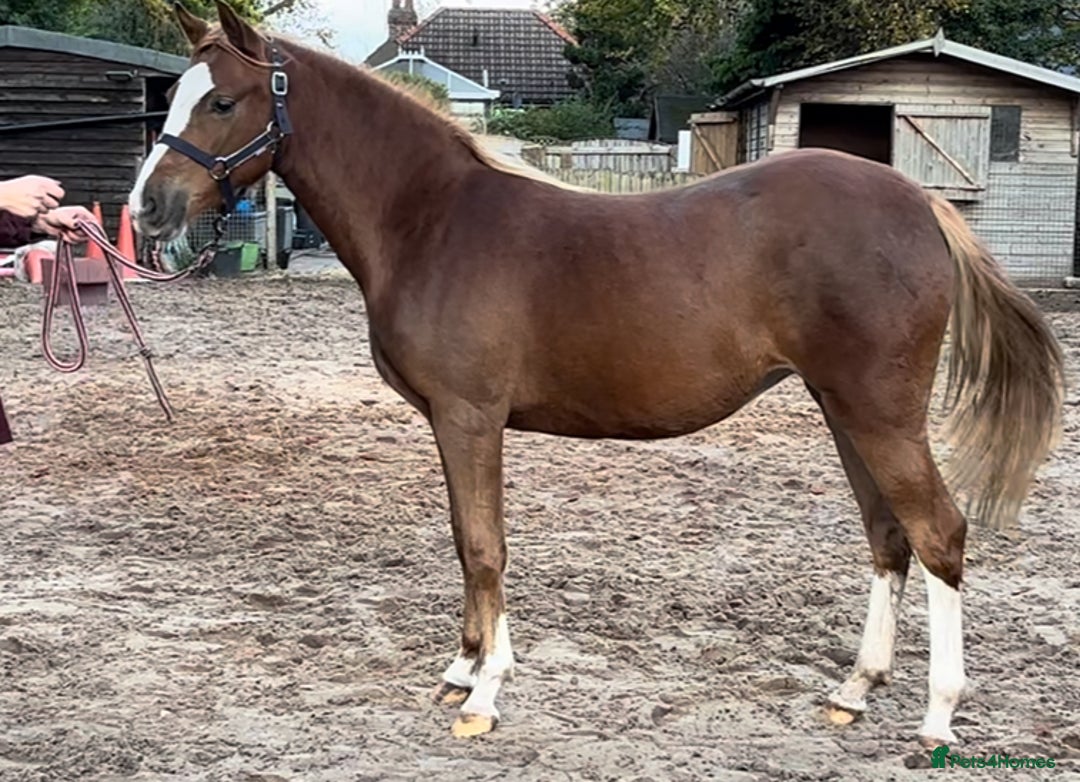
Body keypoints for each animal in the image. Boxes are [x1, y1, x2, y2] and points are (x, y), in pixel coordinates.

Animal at [129, 1, 1063, 747]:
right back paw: (855, 690)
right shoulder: (450, 422)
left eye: (222, 100)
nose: (149, 211)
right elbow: (466, 543)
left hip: (880, 411)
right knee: (888, 537)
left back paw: (938, 716)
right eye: (173, 98)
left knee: (940, 533)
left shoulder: (470, 416)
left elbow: (485, 547)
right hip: (844, 410)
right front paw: (464, 670)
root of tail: (923, 202)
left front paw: (485, 696)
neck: (432, 221)